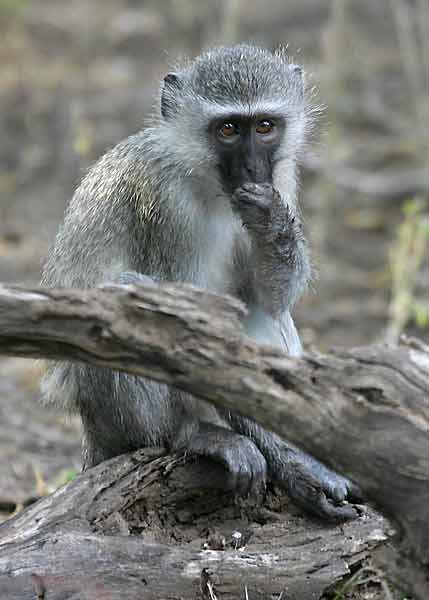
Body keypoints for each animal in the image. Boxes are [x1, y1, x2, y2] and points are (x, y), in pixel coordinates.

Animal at [41, 43, 362, 520]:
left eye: (265, 126)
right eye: (228, 129)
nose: (252, 168)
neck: (207, 180)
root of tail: (91, 434)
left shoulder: (282, 177)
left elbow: (269, 299)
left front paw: (270, 222)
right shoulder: (165, 203)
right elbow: (183, 327)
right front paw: (299, 469)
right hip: (114, 420)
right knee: (123, 294)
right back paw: (188, 435)